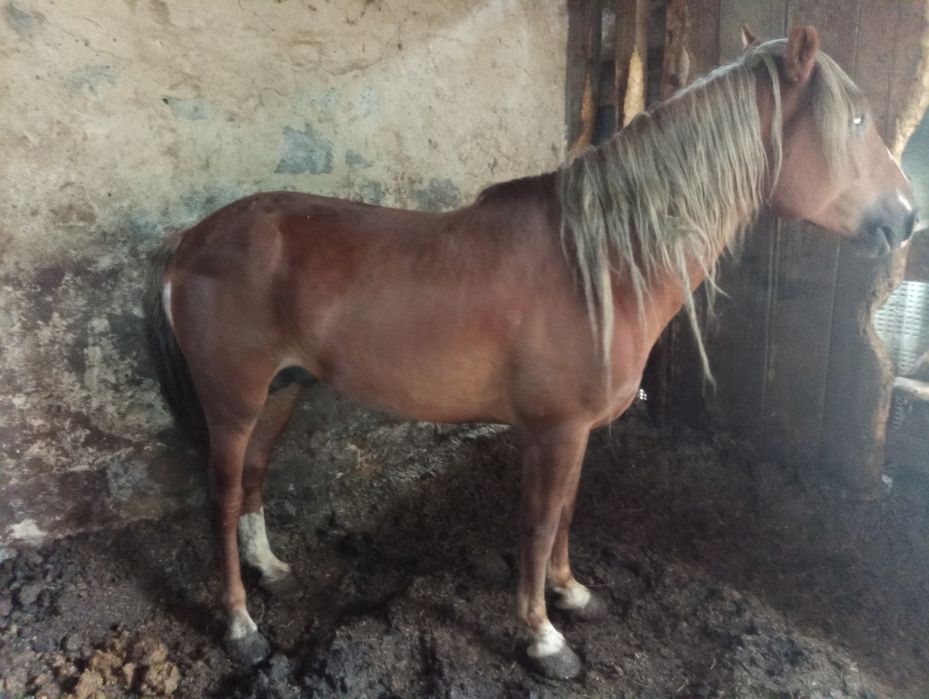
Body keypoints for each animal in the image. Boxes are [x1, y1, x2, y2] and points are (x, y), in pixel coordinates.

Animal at [144, 26, 917, 679]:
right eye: (854, 122)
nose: (907, 217)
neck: (601, 263)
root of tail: (190, 241)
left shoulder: (575, 433)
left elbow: (569, 510)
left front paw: (571, 593)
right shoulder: (555, 429)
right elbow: (541, 522)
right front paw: (543, 637)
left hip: (282, 389)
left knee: (253, 479)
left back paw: (271, 570)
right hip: (234, 400)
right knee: (220, 496)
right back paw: (241, 626)